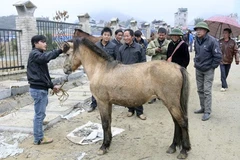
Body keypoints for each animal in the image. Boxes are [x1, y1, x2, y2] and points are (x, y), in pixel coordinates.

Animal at [62, 37, 191, 159]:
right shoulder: (108, 103)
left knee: (182, 122)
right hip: (171, 103)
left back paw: (184, 151)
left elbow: (104, 123)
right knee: (176, 122)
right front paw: (108, 143)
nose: (65, 69)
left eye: (67, 54)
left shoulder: (102, 102)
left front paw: (103, 147)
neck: (101, 69)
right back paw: (173, 147)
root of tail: (177, 67)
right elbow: (109, 122)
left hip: (171, 103)